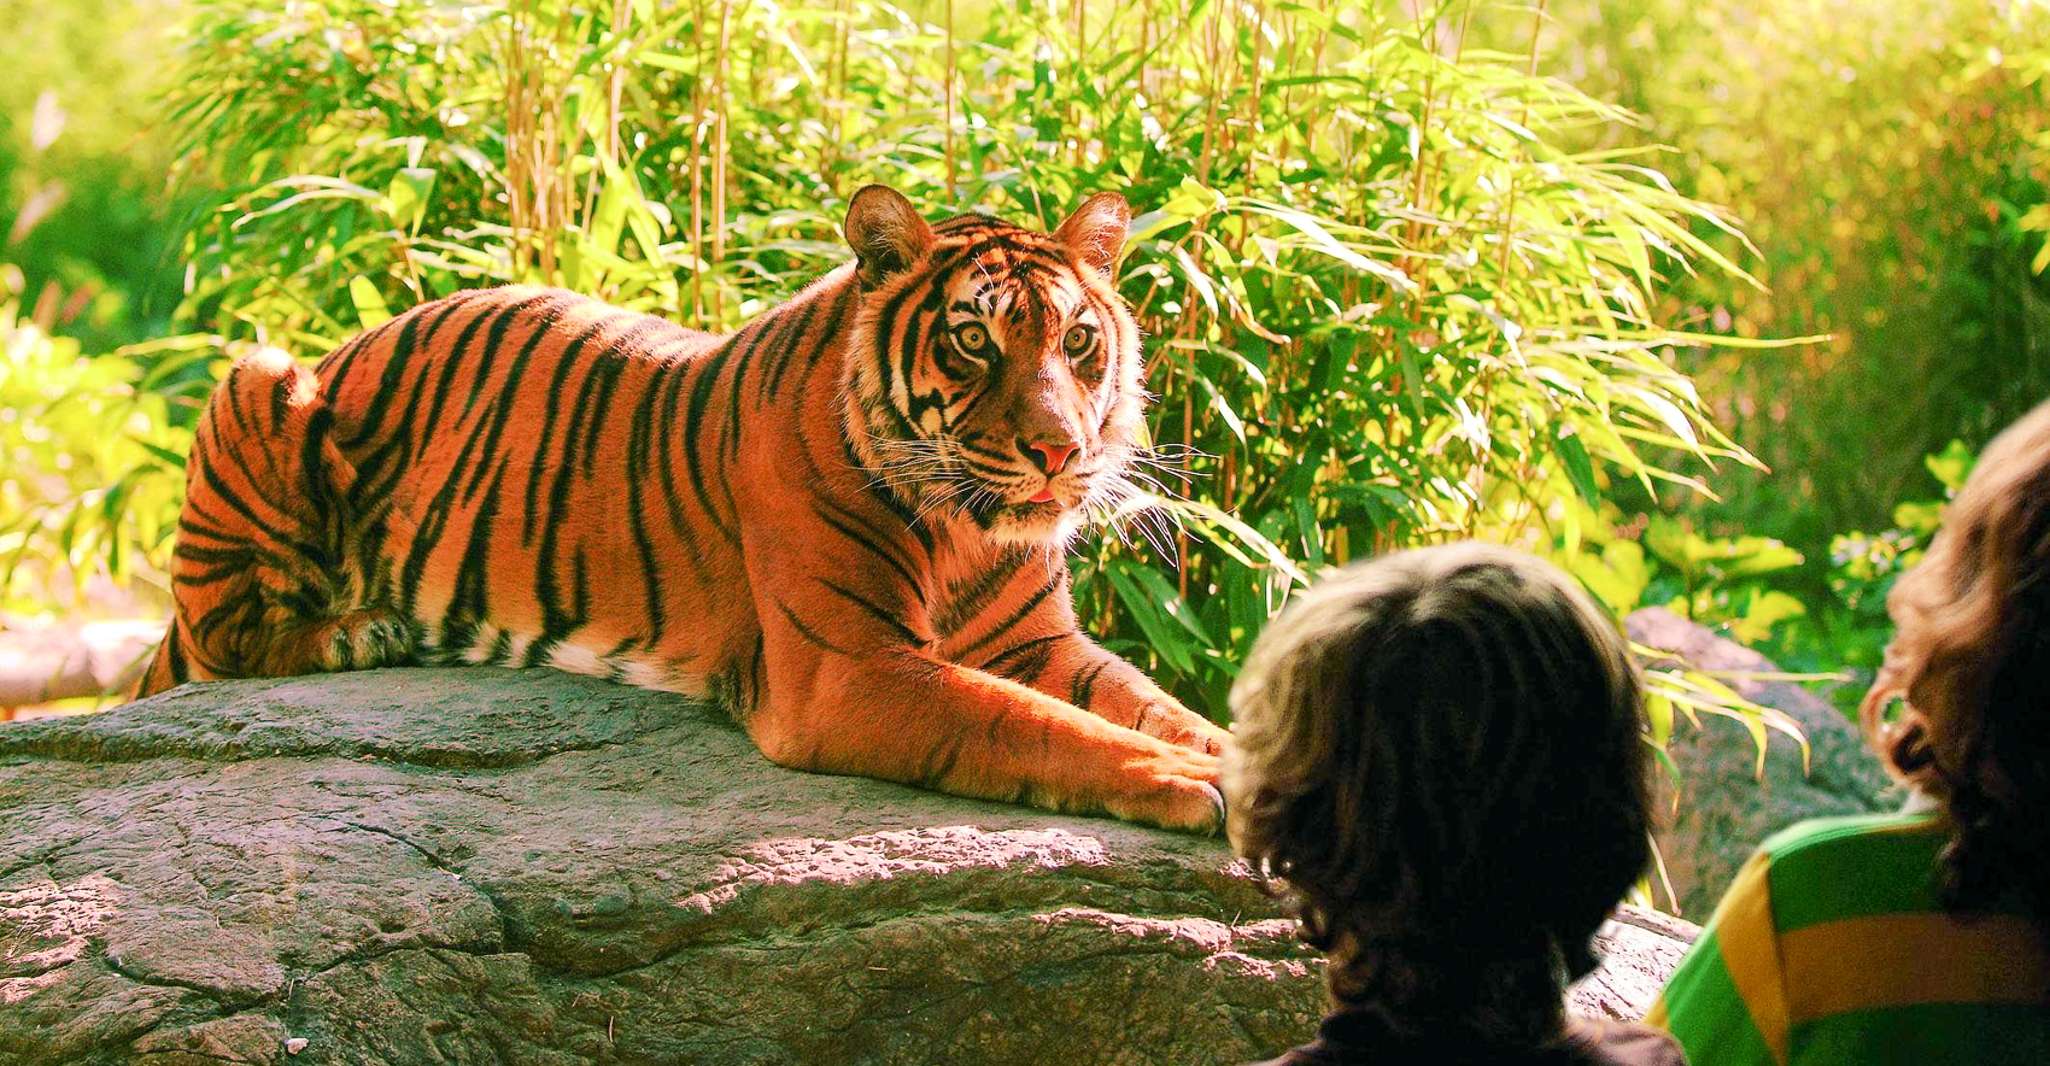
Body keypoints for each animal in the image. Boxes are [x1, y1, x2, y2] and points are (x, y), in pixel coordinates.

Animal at [144, 185, 1238, 832]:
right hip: (260, 372)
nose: (1059, 452)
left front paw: (1230, 757)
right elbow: (1035, 724)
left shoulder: (1035, 642)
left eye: (1078, 341)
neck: (967, 531)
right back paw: (364, 631)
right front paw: (1186, 781)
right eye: (974, 340)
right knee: (224, 639)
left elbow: (1152, 704)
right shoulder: (852, 669)